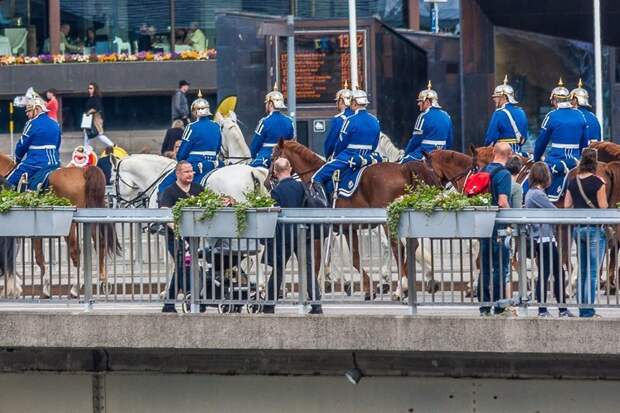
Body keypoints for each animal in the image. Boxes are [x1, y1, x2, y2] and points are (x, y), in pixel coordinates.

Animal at [0, 151, 120, 296]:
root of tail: (83, 171)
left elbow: (35, 257)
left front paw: (43, 287)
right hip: (92, 215)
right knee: (100, 242)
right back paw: (103, 279)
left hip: (71, 225)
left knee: (75, 251)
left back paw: (75, 287)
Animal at [270, 140, 440, 298]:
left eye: (273, 156)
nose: (267, 181)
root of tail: (403, 169)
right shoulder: (346, 229)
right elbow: (354, 258)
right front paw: (367, 288)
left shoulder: (319, 229)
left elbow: (317, 259)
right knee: (413, 244)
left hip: (388, 222)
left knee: (396, 247)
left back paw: (401, 287)